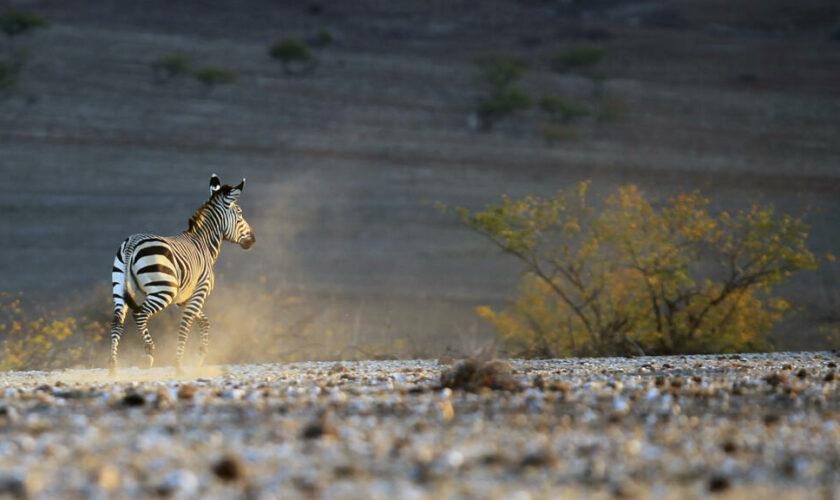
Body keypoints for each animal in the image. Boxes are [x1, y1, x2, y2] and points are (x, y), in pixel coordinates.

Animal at [111, 174, 256, 374]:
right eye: (240, 215)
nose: (253, 240)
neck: (203, 243)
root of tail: (132, 242)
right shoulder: (199, 291)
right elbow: (185, 325)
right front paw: (179, 364)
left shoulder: (183, 298)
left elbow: (204, 322)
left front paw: (199, 356)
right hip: (162, 291)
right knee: (140, 315)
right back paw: (149, 353)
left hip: (119, 287)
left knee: (117, 321)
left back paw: (112, 366)